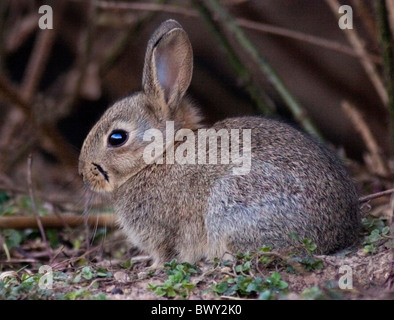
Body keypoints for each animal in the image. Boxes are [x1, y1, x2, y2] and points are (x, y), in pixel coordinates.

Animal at [79, 18, 360, 266]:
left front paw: (153, 267)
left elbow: (165, 252)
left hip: (231, 203)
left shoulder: (162, 232)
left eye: (117, 138)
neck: (159, 156)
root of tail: (337, 233)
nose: (83, 173)